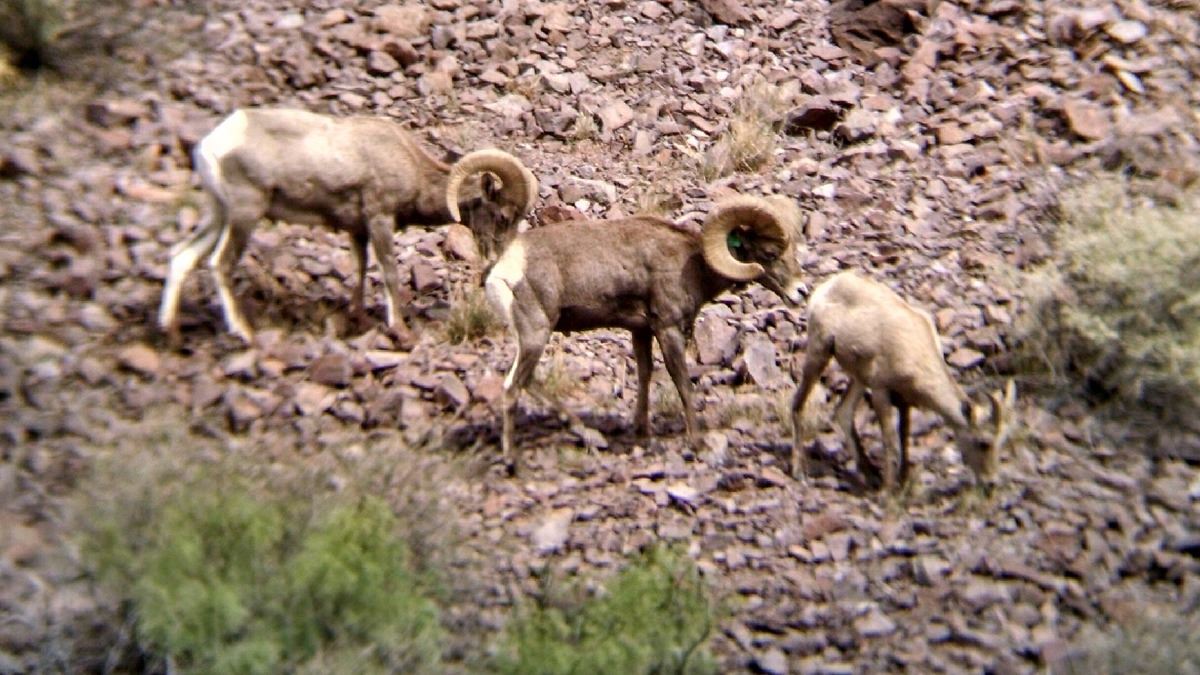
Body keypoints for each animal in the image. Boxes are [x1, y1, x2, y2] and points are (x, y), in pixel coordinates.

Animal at [157, 107, 537, 342]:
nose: (499, 264)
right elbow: (388, 272)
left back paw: (170, 333)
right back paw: (244, 334)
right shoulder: (379, 220)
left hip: (218, 215)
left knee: (181, 256)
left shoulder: (358, 230)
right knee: (219, 264)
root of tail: (212, 144)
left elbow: (359, 270)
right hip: (244, 214)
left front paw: (360, 321)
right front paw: (400, 332)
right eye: (503, 216)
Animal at [486, 194, 807, 473]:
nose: (801, 292)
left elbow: (645, 374)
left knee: (527, 381)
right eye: (769, 253)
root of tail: (501, 272)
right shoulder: (668, 329)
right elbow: (682, 383)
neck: (693, 264)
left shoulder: (640, 331)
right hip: (535, 334)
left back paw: (584, 431)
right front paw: (698, 442)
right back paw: (513, 461)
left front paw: (641, 432)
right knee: (512, 387)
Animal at [788, 271, 1016, 491]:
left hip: (859, 378)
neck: (915, 349)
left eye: (1002, 441)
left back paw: (871, 475)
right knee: (799, 404)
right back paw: (799, 472)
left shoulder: (904, 401)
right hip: (820, 353)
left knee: (843, 412)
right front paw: (887, 493)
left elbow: (904, 439)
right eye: (983, 443)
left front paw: (903, 483)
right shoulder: (880, 392)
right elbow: (890, 443)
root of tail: (829, 285)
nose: (991, 483)